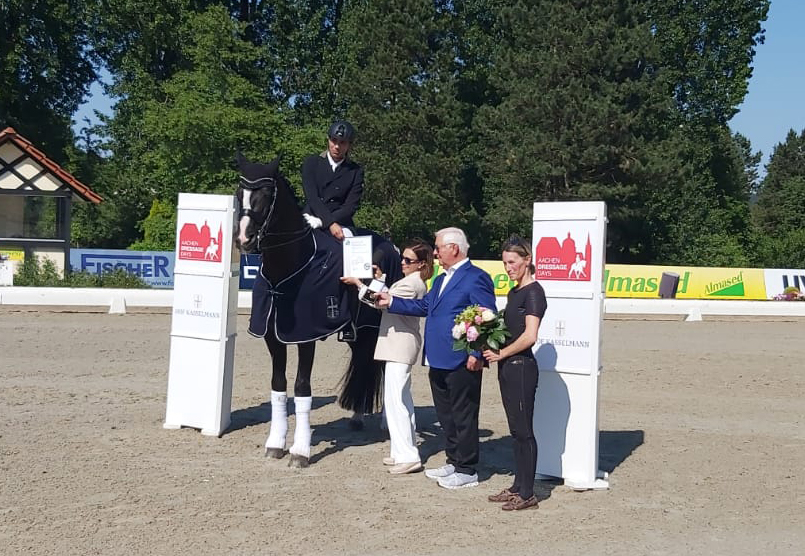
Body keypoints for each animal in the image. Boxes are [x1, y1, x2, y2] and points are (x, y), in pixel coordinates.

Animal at [232, 154, 398, 466]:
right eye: (239, 193)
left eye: (267, 194)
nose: (244, 239)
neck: (289, 268)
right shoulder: (273, 337)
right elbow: (278, 386)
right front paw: (275, 444)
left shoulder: (305, 337)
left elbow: (301, 388)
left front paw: (300, 451)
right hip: (359, 332)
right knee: (363, 361)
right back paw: (358, 417)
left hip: (381, 325)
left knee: (383, 365)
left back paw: (387, 423)